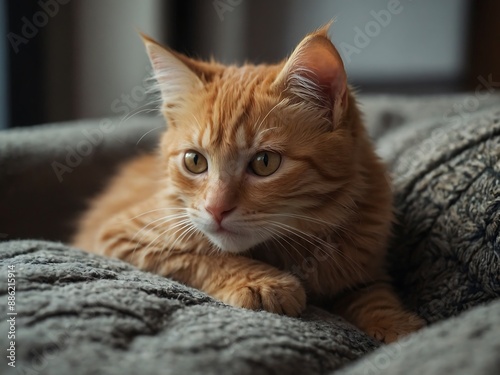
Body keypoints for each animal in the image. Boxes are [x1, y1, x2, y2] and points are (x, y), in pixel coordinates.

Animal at [73, 25, 422, 344]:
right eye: (195, 161)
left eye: (264, 163)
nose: (216, 208)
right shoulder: (119, 235)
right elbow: (203, 254)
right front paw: (261, 282)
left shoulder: (366, 269)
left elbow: (376, 297)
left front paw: (402, 329)